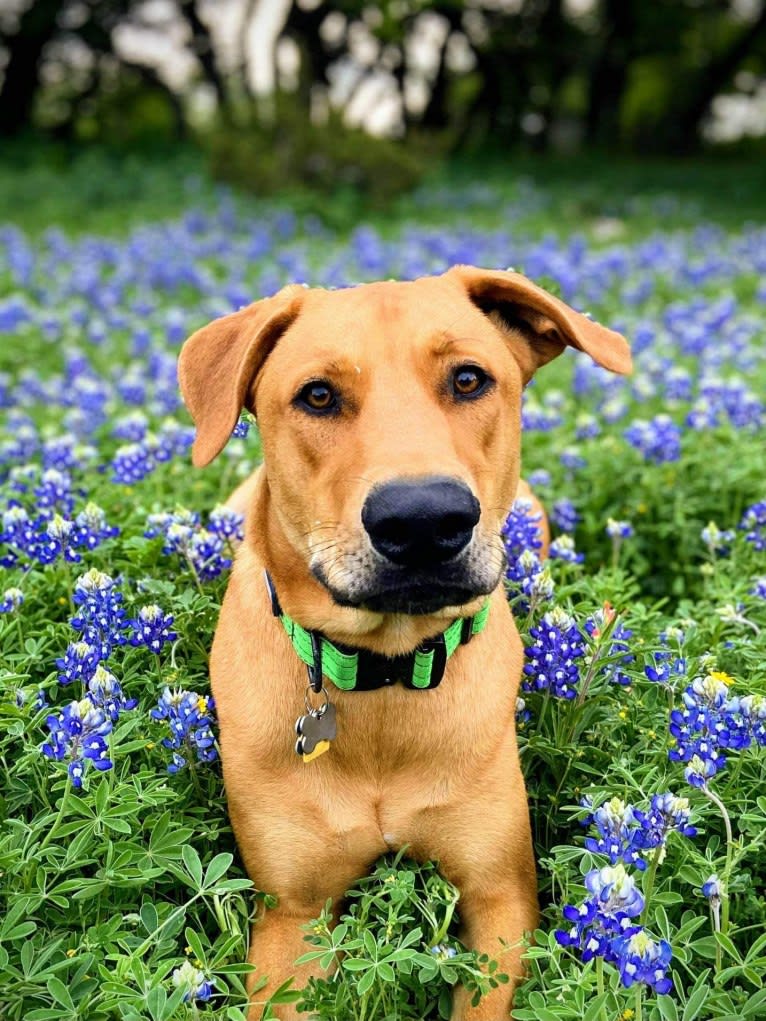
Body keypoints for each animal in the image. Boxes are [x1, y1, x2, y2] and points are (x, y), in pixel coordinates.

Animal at [178, 267, 629, 1016]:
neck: (384, 675)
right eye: (318, 395)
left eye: (469, 379)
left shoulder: (501, 895)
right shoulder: (292, 912)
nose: (422, 518)